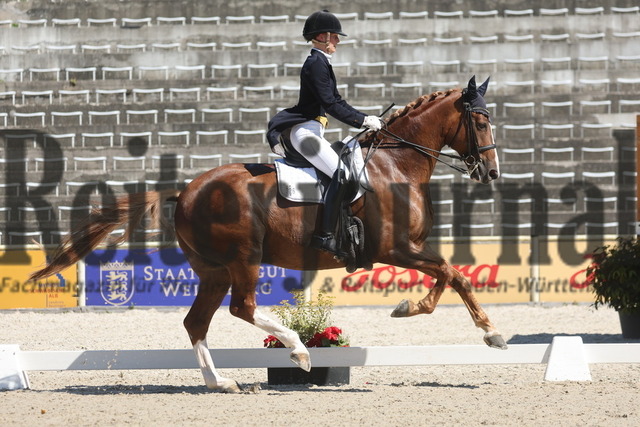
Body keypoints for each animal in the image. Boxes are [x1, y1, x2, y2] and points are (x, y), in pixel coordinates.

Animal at [30, 76, 504, 392]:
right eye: (480, 122)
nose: (491, 172)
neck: (396, 165)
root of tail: (186, 190)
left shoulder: (410, 249)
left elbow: (450, 276)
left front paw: (422, 309)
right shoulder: (397, 248)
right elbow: (453, 276)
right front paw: (479, 329)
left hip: (215, 270)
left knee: (196, 320)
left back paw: (221, 382)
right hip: (244, 258)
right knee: (242, 307)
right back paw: (298, 350)